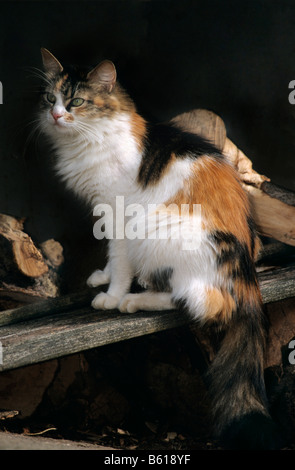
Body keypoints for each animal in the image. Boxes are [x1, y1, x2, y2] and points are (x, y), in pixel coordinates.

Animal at [38, 49, 280, 450]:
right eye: (49, 98)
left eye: (77, 102)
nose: (56, 115)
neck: (92, 135)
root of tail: (245, 276)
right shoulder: (104, 211)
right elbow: (110, 255)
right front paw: (102, 277)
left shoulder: (118, 212)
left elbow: (120, 259)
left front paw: (111, 293)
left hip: (160, 230)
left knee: (202, 301)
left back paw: (132, 301)